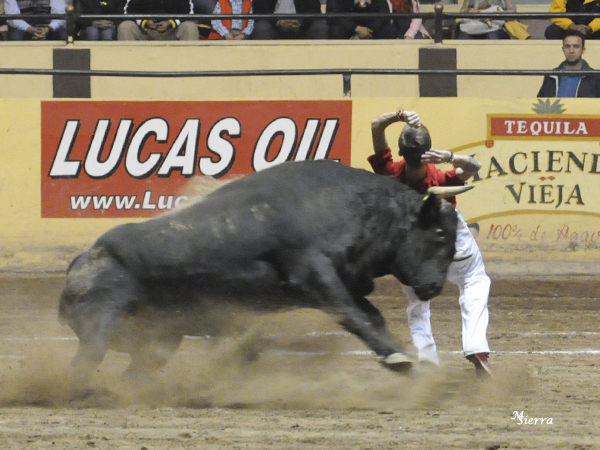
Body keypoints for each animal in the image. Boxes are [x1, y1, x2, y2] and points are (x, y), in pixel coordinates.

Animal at [58, 159, 473, 393]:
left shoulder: (345, 283)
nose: (433, 287)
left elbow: (372, 316)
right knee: (80, 366)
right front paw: (398, 360)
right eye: (440, 233)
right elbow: (354, 316)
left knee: (134, 374)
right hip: (101, 325)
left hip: (161, 338)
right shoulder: (313, 275)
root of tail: (83, 260)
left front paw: (402, 359)